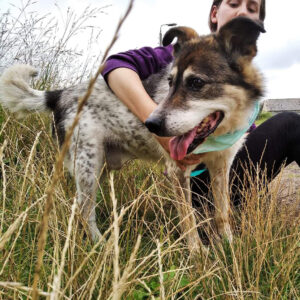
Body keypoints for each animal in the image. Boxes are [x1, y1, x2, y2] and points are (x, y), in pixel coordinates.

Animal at [0, 15, 264, 251]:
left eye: (197, 83)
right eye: (170, 82)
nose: (151, 124)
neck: (220, 132)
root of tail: (59, 93)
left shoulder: (221, 167)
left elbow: (222, 212)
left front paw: (228, 244)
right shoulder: (178, 171)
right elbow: (188, 220)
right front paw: (198, 255)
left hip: (98, 168)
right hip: (88, 167)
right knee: (85, 211)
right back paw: (101, 245)